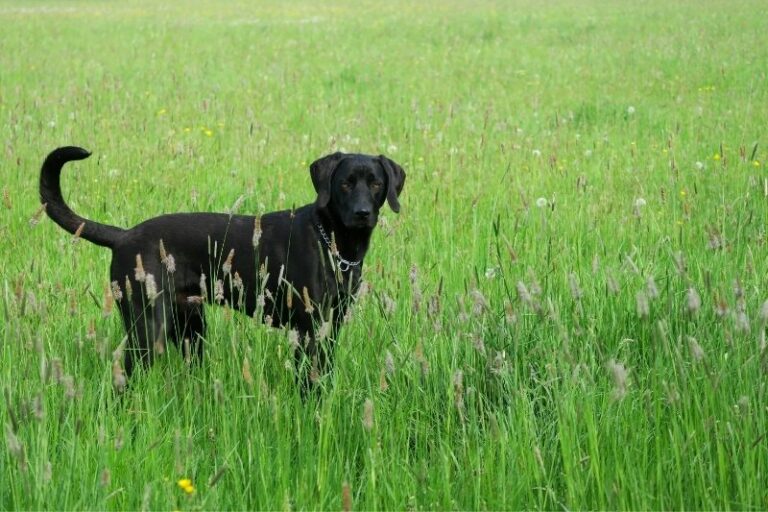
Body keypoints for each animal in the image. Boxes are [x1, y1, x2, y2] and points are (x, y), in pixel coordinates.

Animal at [39, 146, 404, 382]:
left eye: (375, 183)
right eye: (345, 183)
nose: (362, 213)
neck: (332, 242)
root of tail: (123, 236)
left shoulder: (331, 327)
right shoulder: (307, 330)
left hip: (191, 327)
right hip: (147, 328)